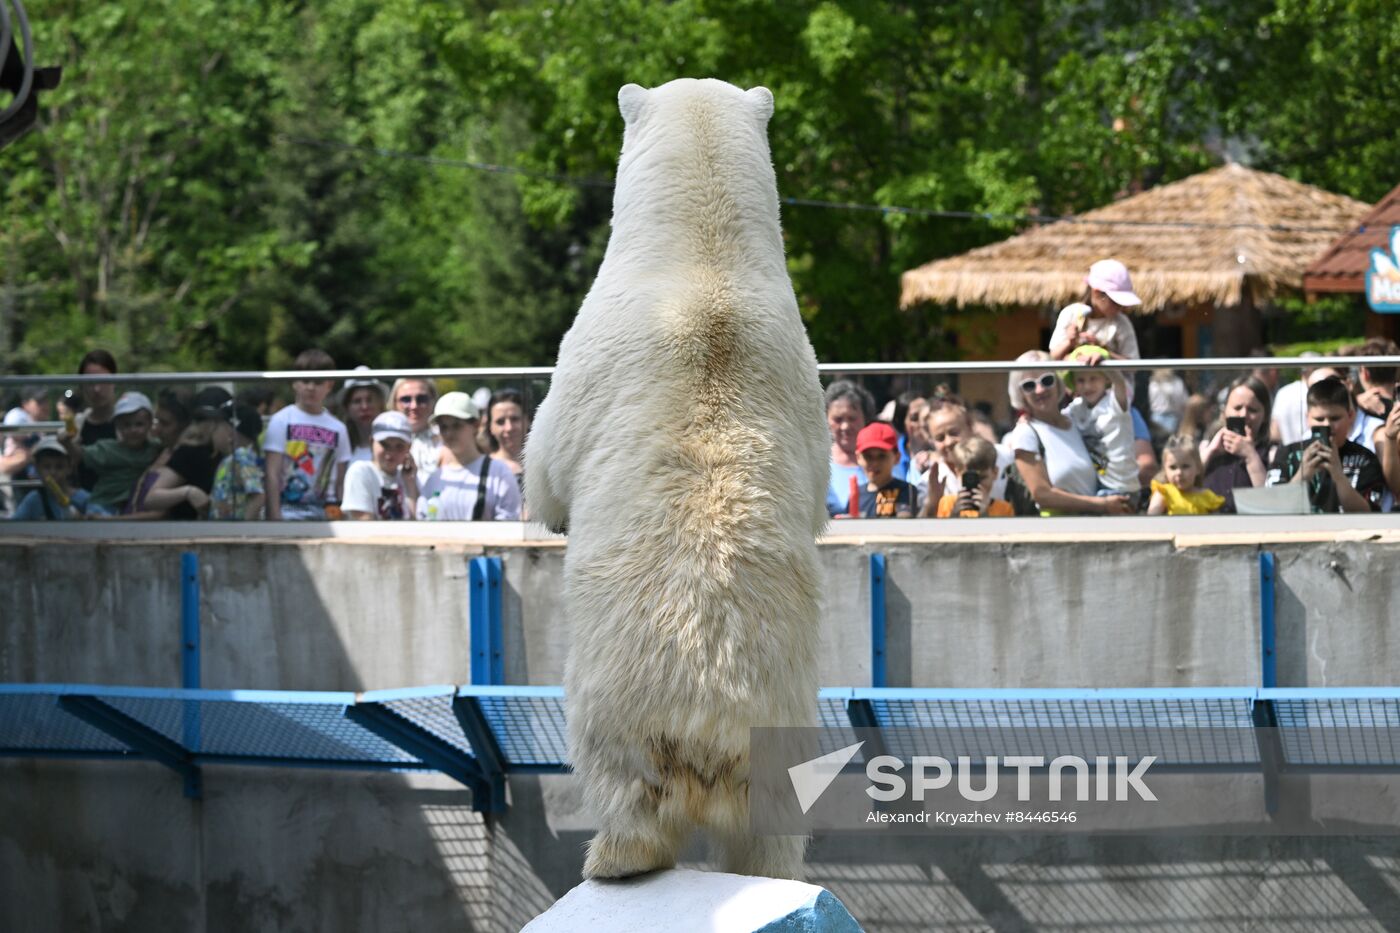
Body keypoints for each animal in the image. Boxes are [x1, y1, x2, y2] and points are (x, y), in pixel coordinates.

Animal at [526, 74, 828, 879]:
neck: (702, 263)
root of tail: (714, 715)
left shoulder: (587, 349)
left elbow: (547, 453)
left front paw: (546, 508)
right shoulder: (806, 380)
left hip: (621, 697)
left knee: (619, 780)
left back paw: (611, 857)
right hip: (784, 734)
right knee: (774, 828)